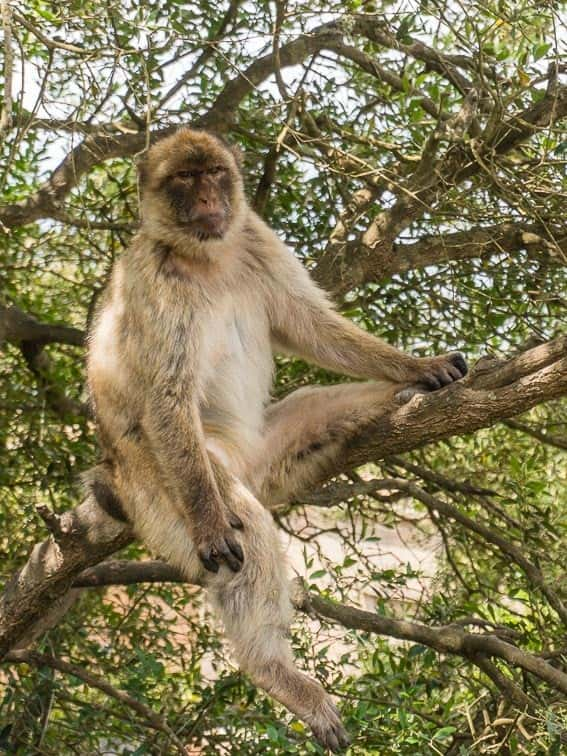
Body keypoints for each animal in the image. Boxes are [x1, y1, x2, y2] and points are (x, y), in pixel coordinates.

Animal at [87, 128, 466, 752]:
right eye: (184, 179)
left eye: (215, 173)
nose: (208, 199)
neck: (207, 257)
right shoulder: (152, 283)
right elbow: (166, 396)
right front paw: (213, 526)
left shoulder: (255, 238)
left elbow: (309, 326)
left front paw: (419, 365)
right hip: (166, 479)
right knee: (241, 523)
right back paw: (273, 668)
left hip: (268, 454)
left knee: (319, 410)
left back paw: (401, 396)